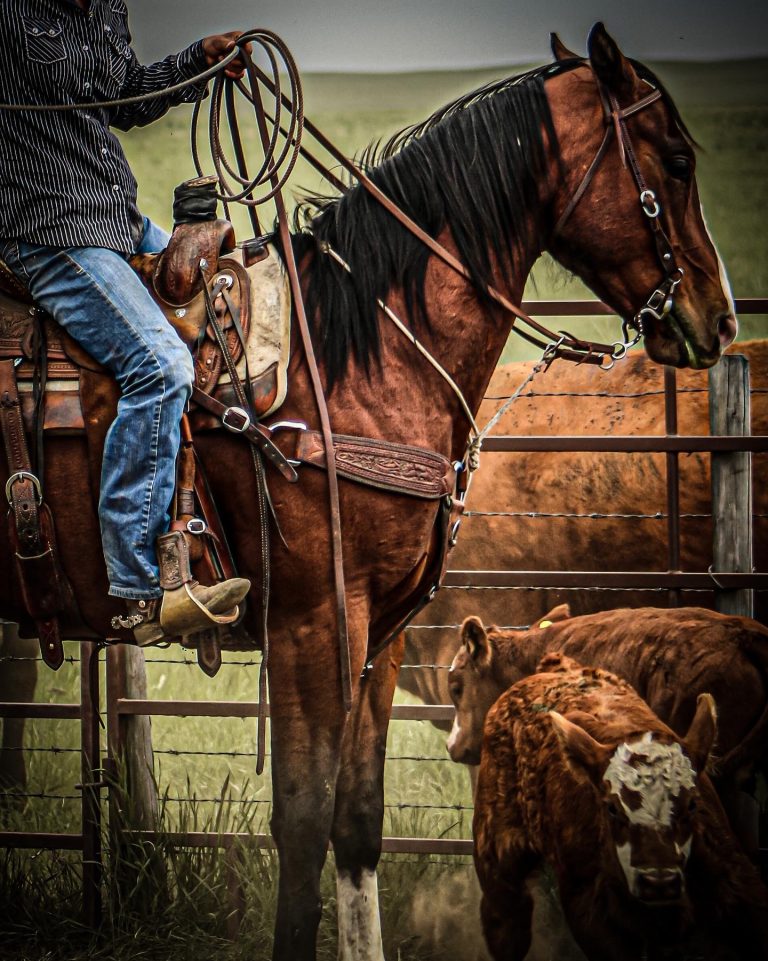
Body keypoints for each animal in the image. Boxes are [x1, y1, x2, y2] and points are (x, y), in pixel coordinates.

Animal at [473, 655, 768, 961]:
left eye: (692, 804)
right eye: (611, 808)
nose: (658, 881)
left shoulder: (739, 885)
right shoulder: (593, 912)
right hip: (497, 861)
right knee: (507, 919)